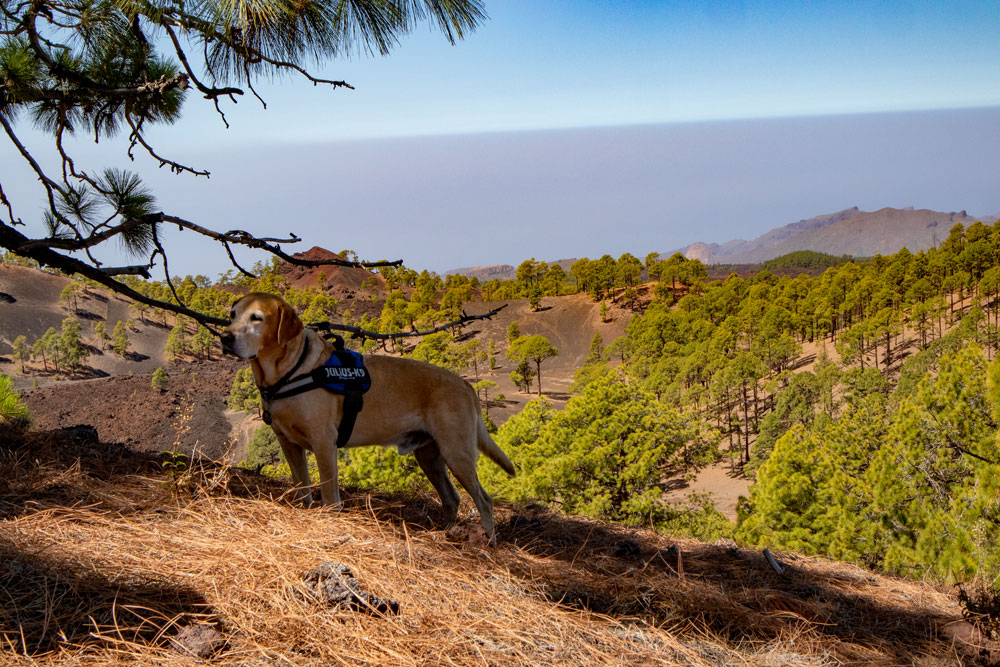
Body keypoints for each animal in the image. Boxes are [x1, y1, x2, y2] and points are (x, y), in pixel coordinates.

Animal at [220, 294, 516, 544]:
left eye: (256, 318)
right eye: (232, 315)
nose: (224, 337)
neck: (289, 372)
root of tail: (465, 385)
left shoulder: (323, 443)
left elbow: (329, 495)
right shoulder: (289, 444)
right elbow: (302, 487)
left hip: (457, 452)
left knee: (484, 499)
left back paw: (488, 542)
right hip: (429, 457)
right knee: (452, 498)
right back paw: (446, 535)